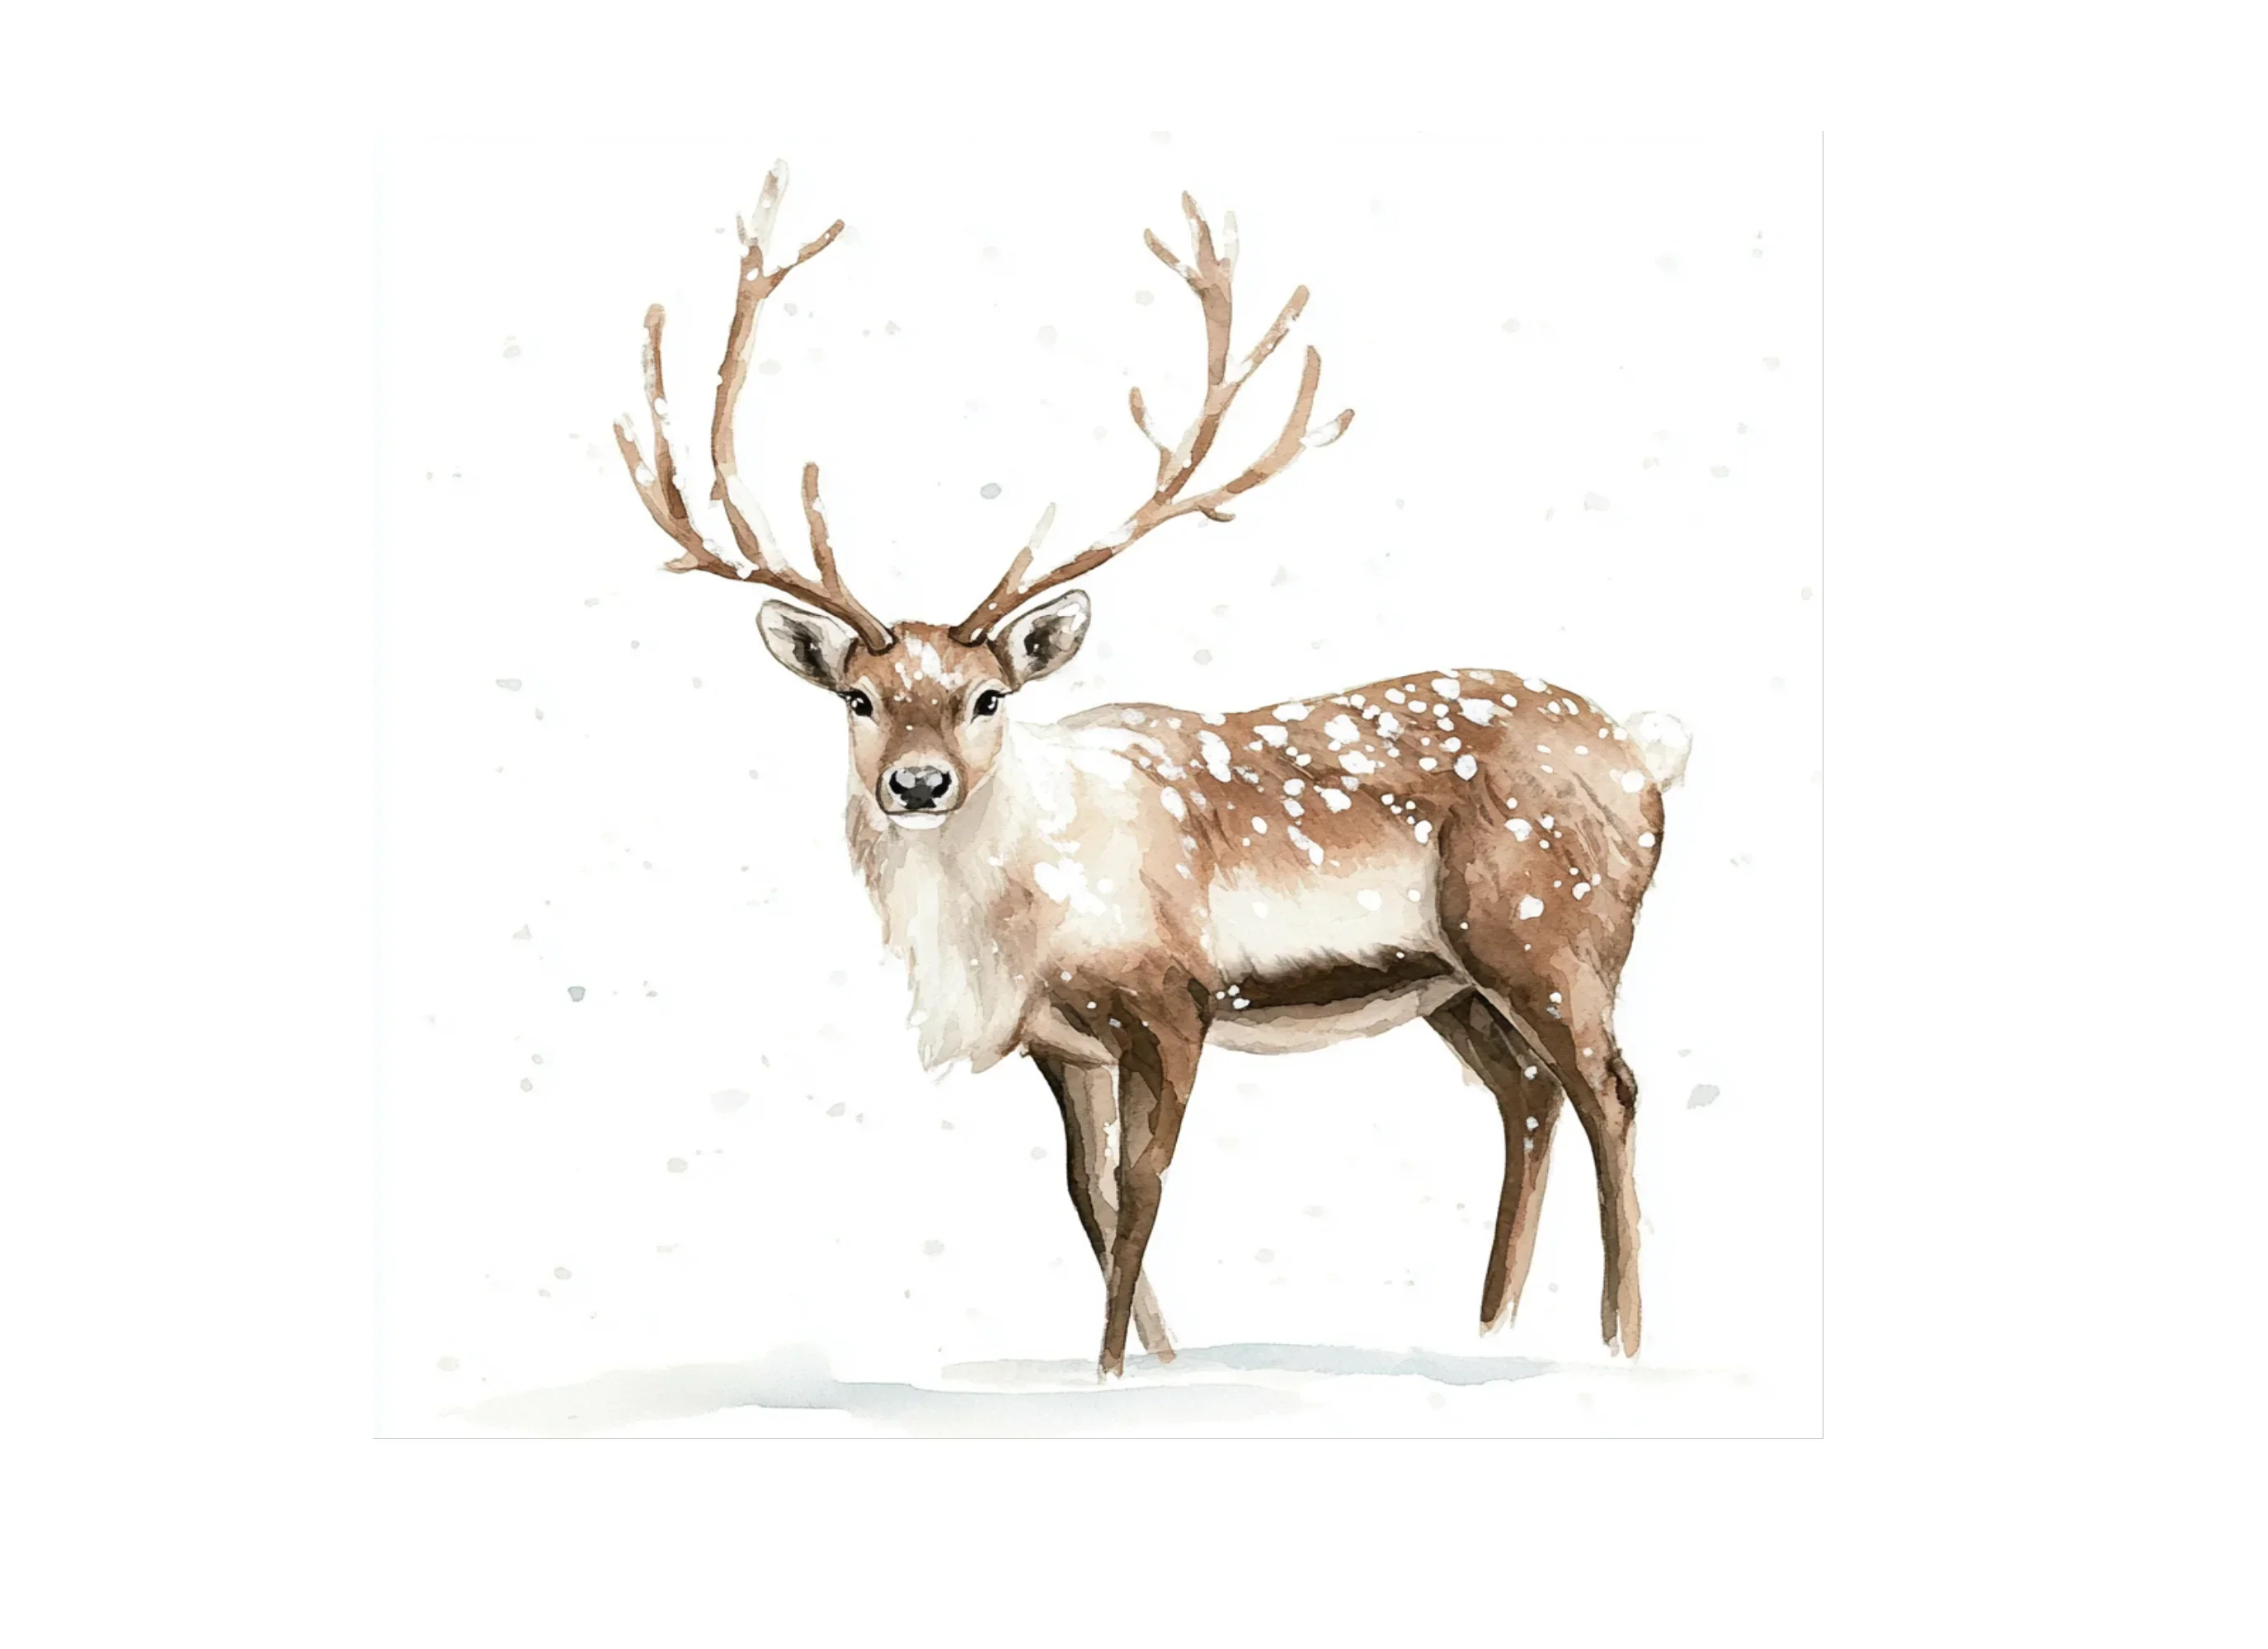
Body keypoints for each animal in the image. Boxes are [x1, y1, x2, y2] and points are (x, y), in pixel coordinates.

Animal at [613, 164, 1691, 1378]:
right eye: (860, 699)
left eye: (988, 696)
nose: (918, 784)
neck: (1011, 927)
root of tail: (1645, 751)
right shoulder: (1060, 1042)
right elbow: (1084, 1194)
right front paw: (1149, 1366)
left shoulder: (1171, 1001)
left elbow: (1140, 1189)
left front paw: (1114, 1372)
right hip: (1450, 979)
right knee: (1525, 1095)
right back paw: (1489, 1325)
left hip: (1553, 937)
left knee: (1610, 1090)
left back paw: (1620, 1339)